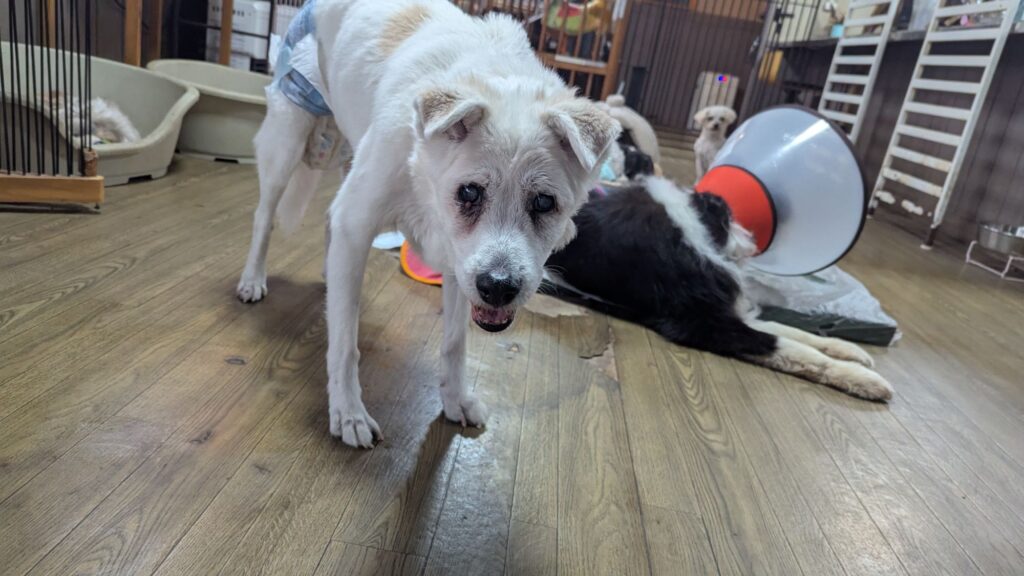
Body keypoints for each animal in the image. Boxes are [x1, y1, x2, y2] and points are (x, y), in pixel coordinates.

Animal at [237, 0, 619, 448]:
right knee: (264, 217)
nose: (499, 288)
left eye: (544, 202)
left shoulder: (459, 262)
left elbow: (454, 343)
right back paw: (253, 279)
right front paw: (348, 412)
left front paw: (455, 400)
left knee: (331, 220)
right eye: (469, 192)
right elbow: (345, 344)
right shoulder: (362, 218)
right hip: (289, 138)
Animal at [545, 178, 894, 401]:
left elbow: (795, 332)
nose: (752, 240)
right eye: (730, 218)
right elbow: (788, 346)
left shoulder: (726, 308)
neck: (691, 225)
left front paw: (849, 350)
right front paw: (863, 380)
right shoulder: (703, 322)